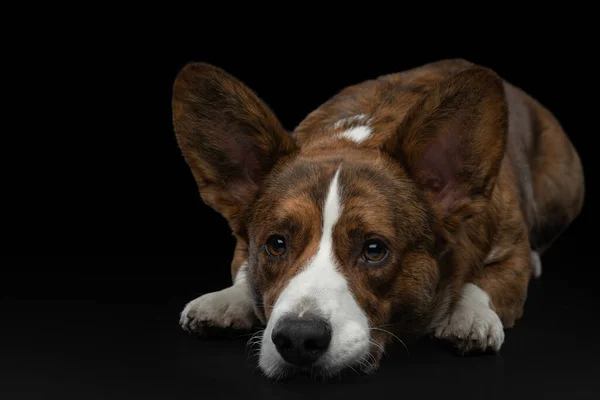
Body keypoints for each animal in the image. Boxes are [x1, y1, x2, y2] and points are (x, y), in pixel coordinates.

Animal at [171, 58, 584, 378]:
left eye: (374, 249)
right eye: (276, 244)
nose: (298, 339)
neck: (358, 140)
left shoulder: (510, 250)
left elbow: (485, 283)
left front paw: (470, 317)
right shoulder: (244, 250)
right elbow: (243, 272)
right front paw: (224, 300)